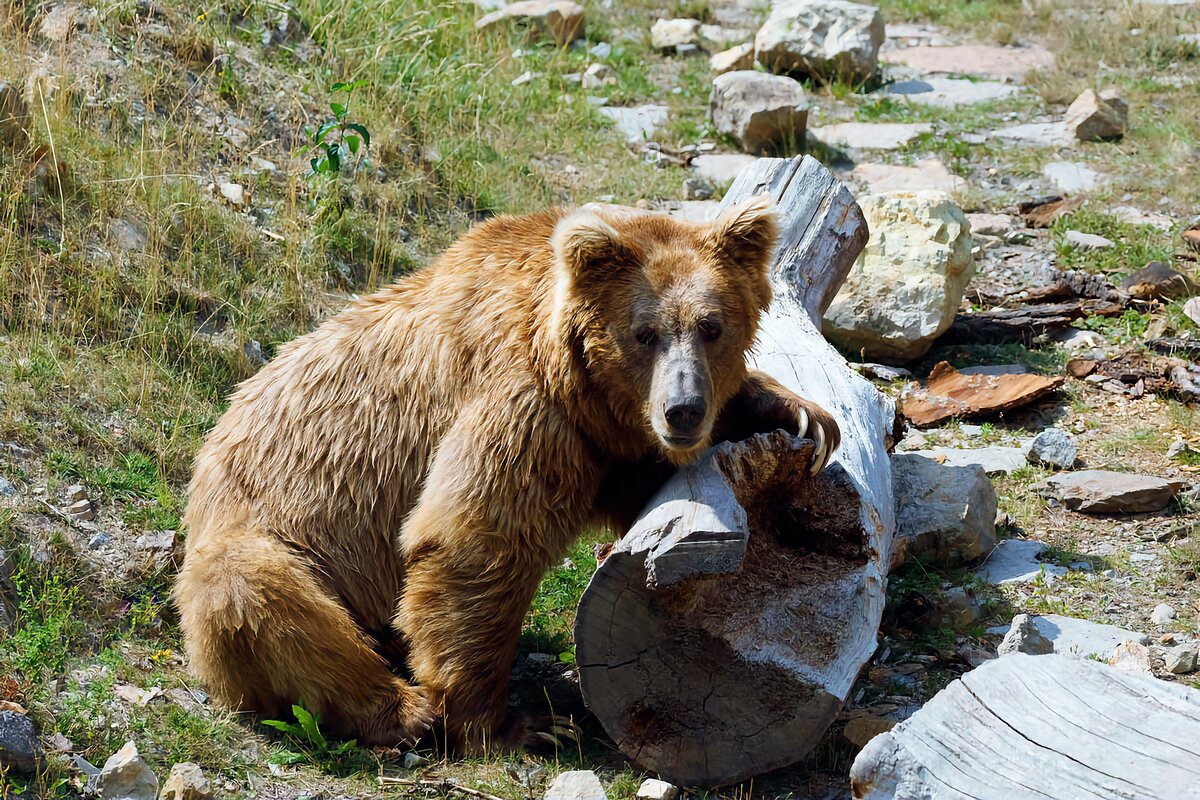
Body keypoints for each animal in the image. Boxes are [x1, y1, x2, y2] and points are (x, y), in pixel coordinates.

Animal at [174, 196, 840, 753]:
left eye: (712, 325)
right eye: (644, 332)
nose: (683, 410)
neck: (574, 376)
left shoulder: (599, 444)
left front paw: (800, 415)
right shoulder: (522, 401)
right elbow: (475, 540)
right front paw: (519, 724)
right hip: (267, 539)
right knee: (257, 596)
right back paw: (403, 709)